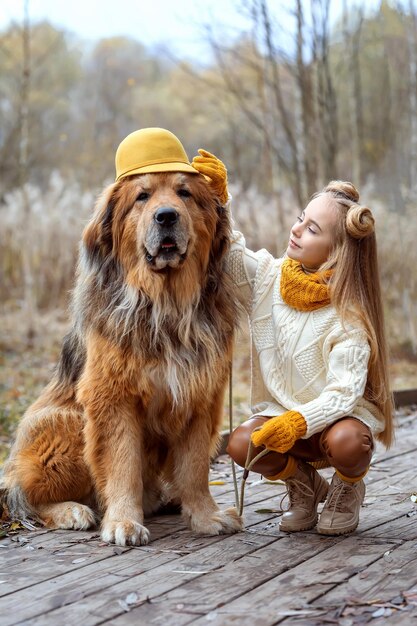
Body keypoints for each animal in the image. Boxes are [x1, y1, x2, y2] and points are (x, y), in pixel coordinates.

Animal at [3, 168, 242, 544]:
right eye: (142, 197)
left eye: (184, 193)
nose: (166, 216)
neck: (165, 306)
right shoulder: (112, 396)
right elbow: (123, 463)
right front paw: (124, 522)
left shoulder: (200, 395)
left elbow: (194, 467)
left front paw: (205, 516)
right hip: (65, 422)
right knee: (24, 498)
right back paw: (71, 510)